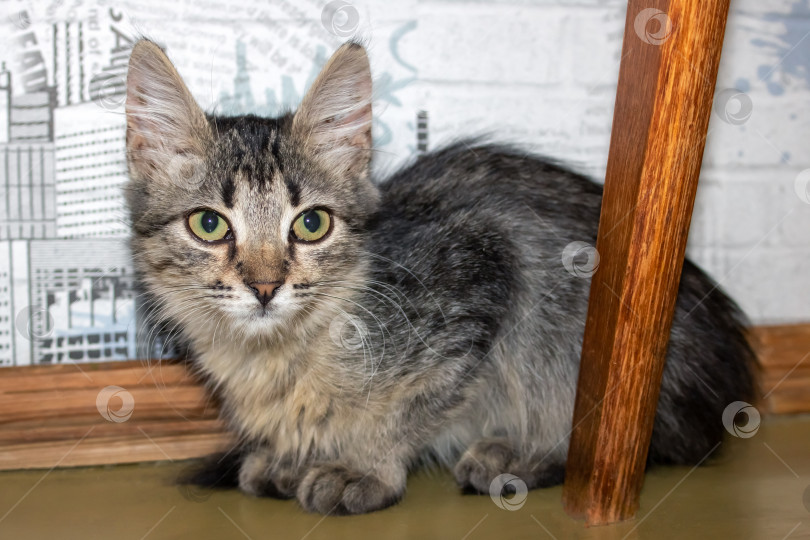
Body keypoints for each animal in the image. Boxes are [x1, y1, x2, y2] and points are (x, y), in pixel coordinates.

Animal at [123, 39, 756, 516]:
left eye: (311, 224)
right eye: (208, 224)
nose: (264, 287)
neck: (275, 358)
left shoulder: (487, 264)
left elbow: (411, 406)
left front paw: (364, 465)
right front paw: (289, 455)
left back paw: (516, 456)